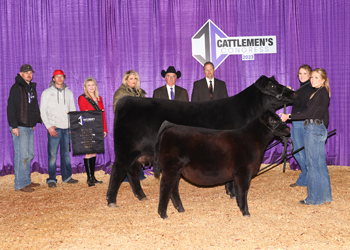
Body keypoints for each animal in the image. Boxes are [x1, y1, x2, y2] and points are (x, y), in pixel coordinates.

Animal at [106, 74, 296, 207]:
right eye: (272, 85)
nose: (293, 92)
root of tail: (126, 100)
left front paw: (229, 192)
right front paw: (233, 193)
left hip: (138, 154)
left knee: (132, 172)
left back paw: (141, 196)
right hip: (126, 150)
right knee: (118, 171)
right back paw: (111, 200)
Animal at [154, 110, 292, 218]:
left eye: (279, 118)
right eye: (273, 120)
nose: (288, 128)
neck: (254, 140)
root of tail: (170, 125)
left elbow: (238, 191)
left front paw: (239, 206)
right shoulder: (244, 172)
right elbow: (243, 191)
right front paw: (245, 212)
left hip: (178, 170)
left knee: (173, 189)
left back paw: (180, 209)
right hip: (170, 169)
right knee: (165, 188)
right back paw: (163, 214)